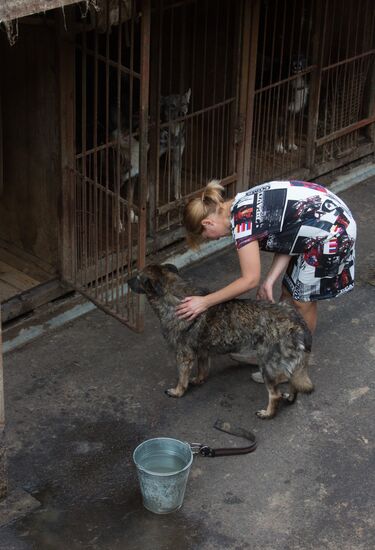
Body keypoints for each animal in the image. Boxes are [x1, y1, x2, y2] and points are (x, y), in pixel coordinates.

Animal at [129, 266, 314, 420]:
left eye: (137, 277)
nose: (126, 281)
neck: (173, 296)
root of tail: (296, 322)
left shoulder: (184, 355)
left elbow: (182, 378)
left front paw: (178, 392)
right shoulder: (202, 351)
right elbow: (203, 370)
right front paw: (198, 380)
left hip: (267, 365)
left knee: (274, 394)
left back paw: (267, 413)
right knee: (292, 381)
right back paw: (290, 397)